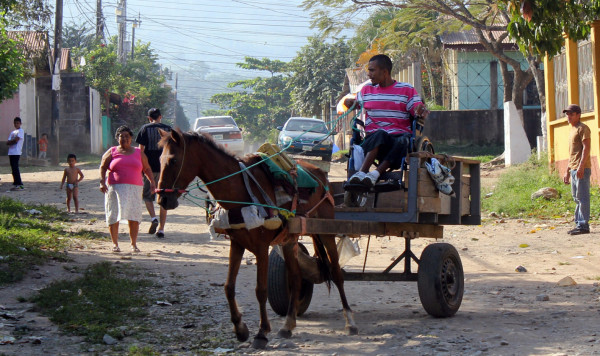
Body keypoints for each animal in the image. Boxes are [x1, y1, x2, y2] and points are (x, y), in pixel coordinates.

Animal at [157, 129, 358, 350]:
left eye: (173, 160)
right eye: (159, 159)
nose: (162, 199)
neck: (240, 190)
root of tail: (320, 174)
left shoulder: (261, 248)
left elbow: (261, 290)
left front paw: (261, 333)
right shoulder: (237, 244)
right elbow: (228, 287)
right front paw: (240, 329)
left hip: (326, 231)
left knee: (336, 274)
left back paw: (350, 322)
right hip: (289, 239)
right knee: (296, 278)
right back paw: (288, 324)